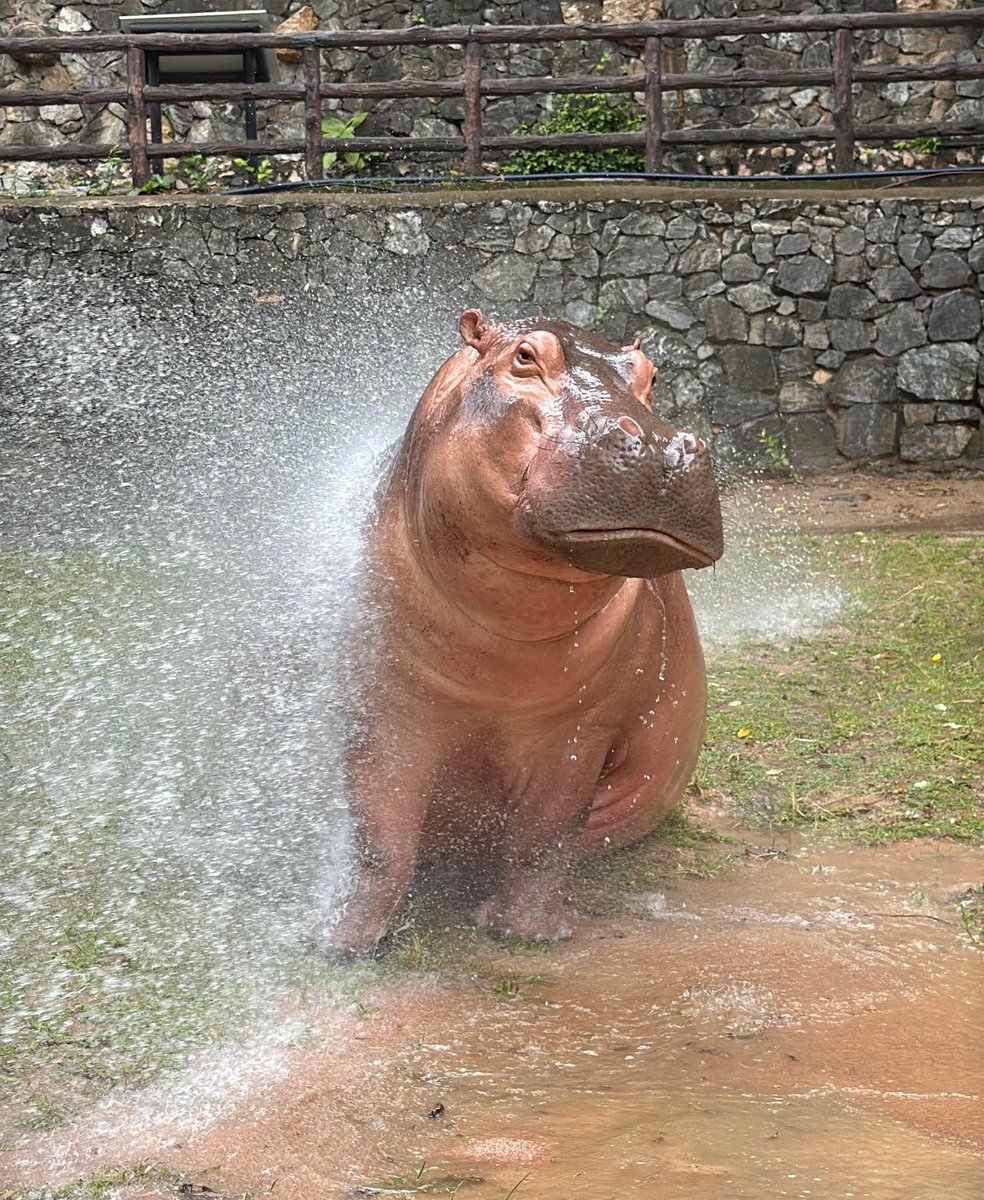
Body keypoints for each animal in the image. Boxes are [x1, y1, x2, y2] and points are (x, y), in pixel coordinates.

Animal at [319, 310, 723, 953]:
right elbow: (379, 838)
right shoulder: (385, 708)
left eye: (653, 374)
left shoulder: (578, 731)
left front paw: (523, 932)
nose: (661, 444)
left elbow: (544, 834)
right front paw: (339, 941)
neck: (502, 635)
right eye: (525, 358)